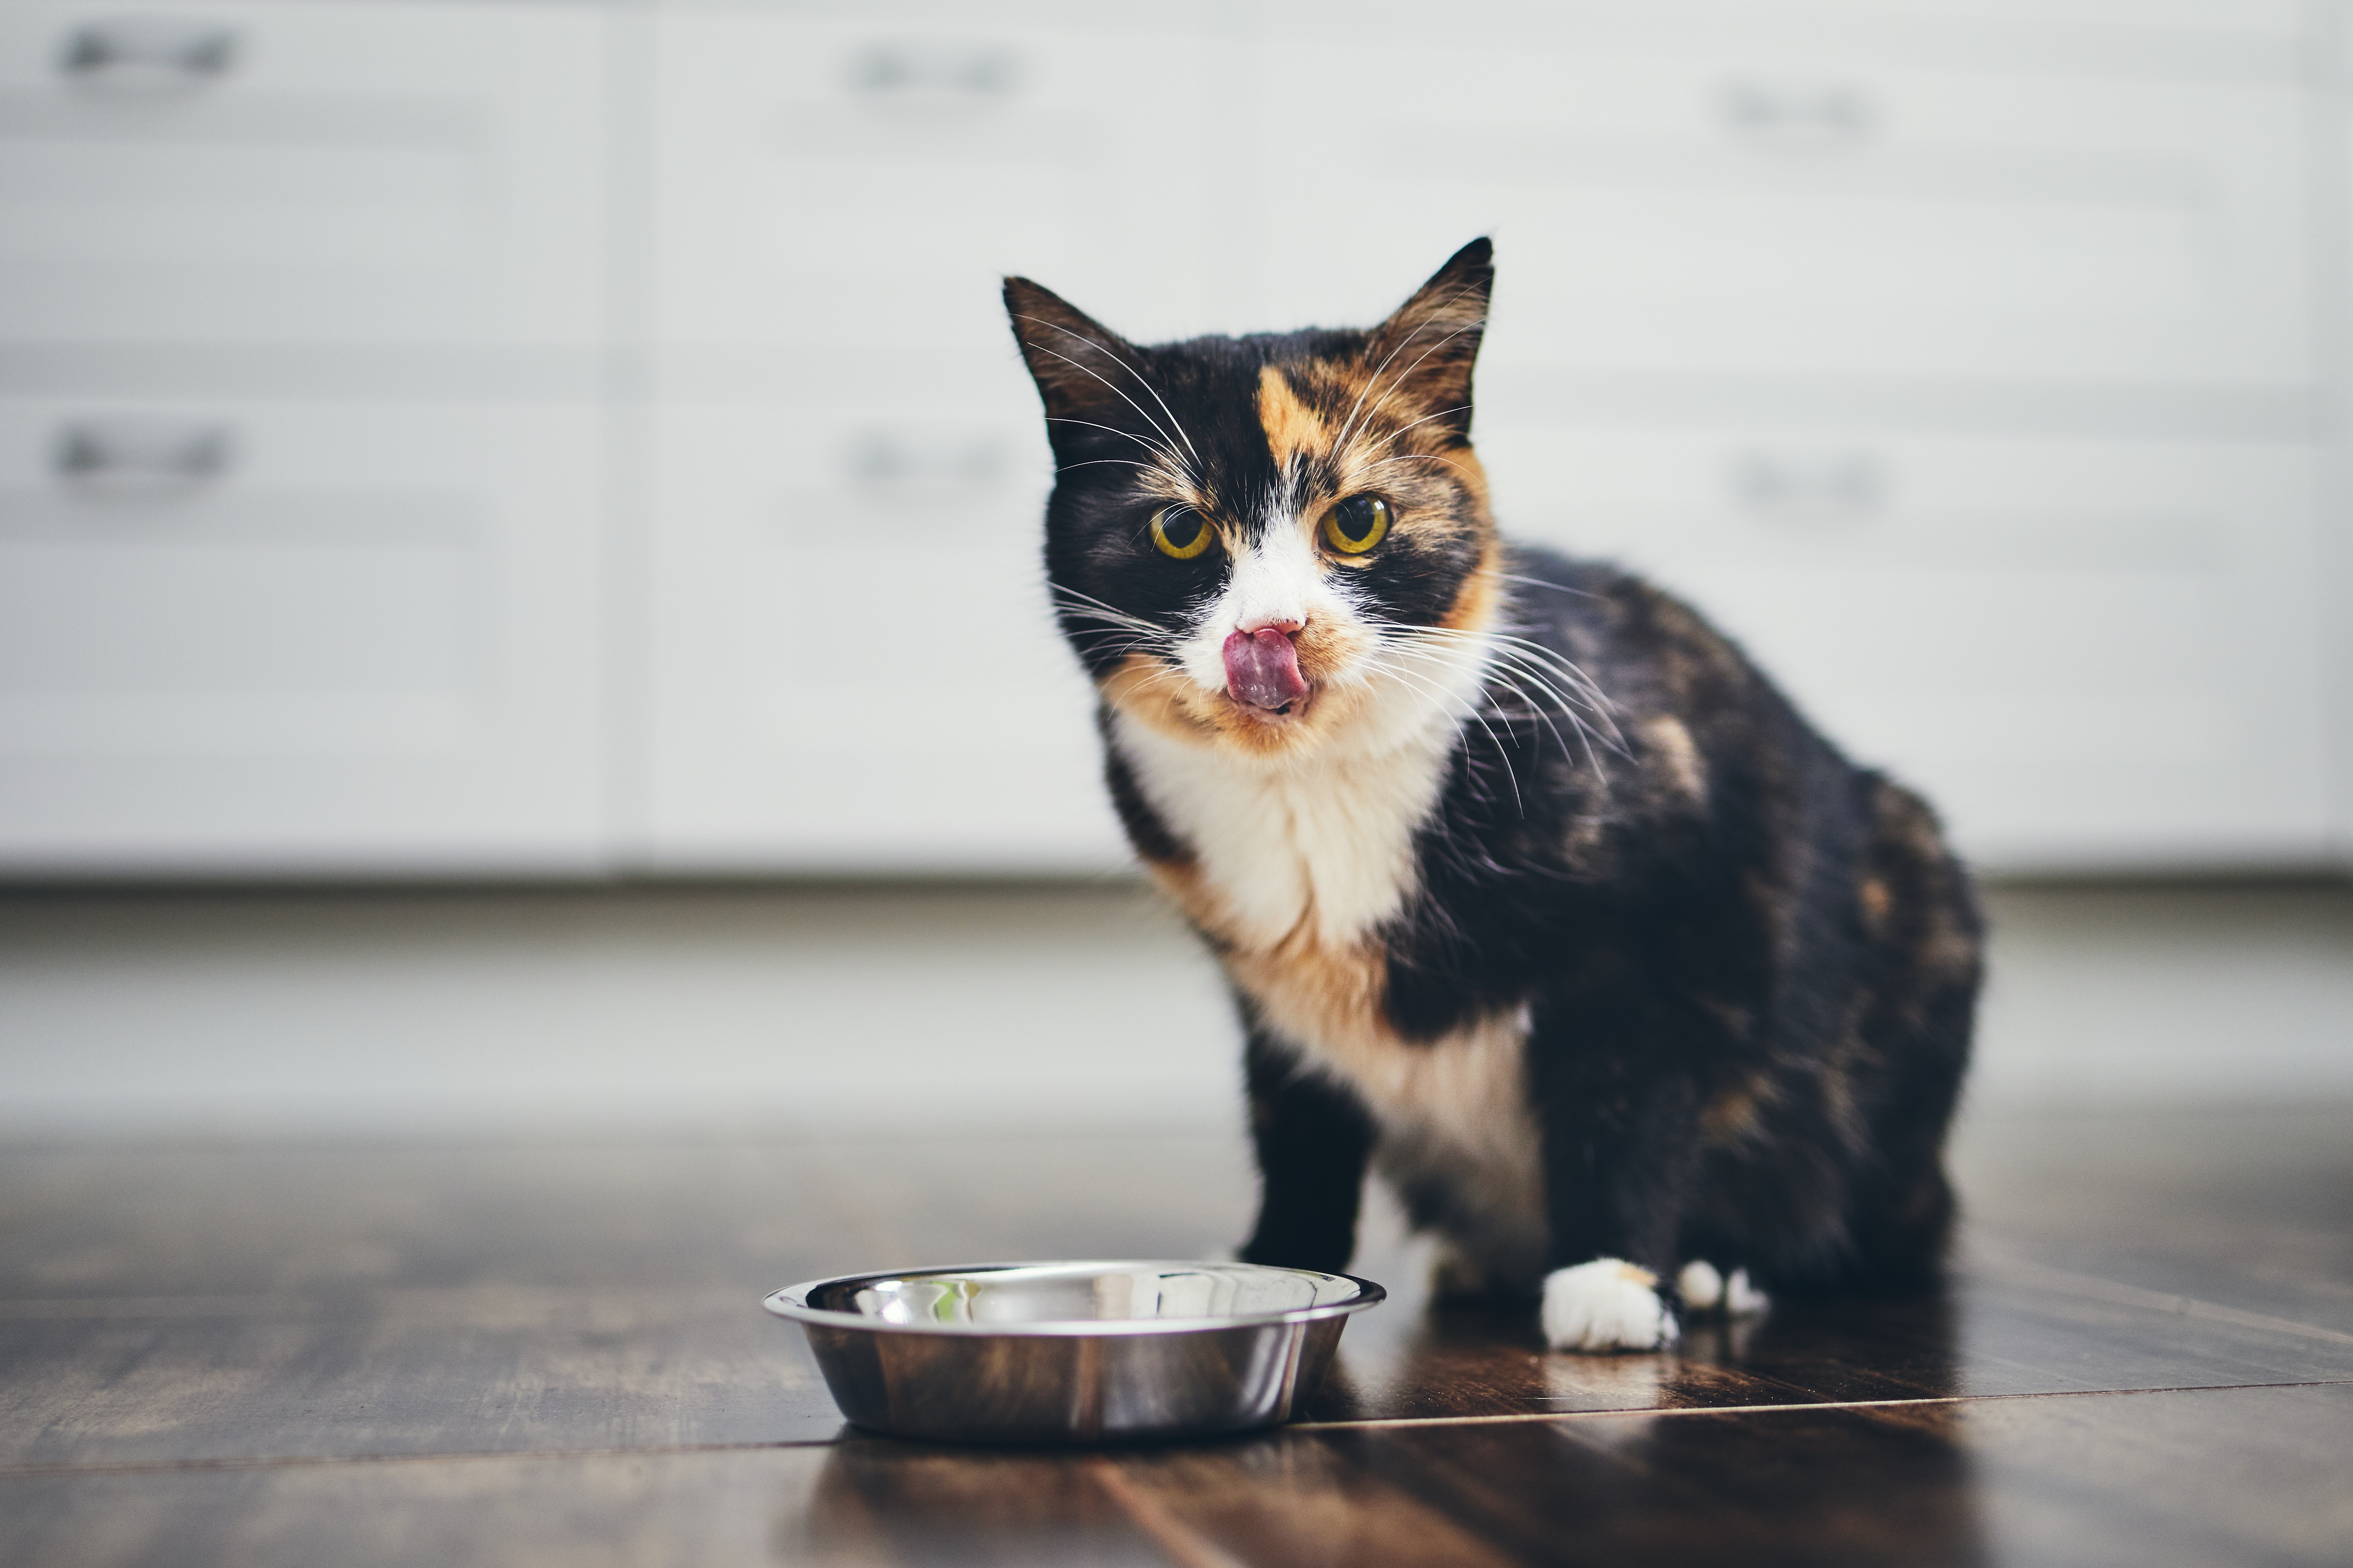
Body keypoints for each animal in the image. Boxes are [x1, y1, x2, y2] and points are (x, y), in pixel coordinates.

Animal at [1002, 240, 1976, 1354]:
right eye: (1176, 529)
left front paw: (1610, 1280)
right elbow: (1296, 1128)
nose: (1273, 631)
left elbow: (1625, 1098)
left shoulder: (1661, 916)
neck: (1311, 788)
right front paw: (1275, 1264)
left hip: (1910, 903)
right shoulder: (1271, 1001)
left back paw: (1719, 1268)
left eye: (1358, 520)